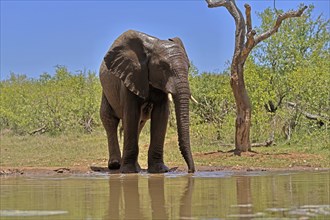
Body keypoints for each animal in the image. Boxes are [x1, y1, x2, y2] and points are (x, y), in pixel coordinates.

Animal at [99, 29, 195, 174]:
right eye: (163, 67)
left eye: (188, 67)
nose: (190, 171)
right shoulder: (131, 75)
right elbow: (131, 114)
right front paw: (128, 171)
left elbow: (161, 115)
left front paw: (160, 170)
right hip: (106, 91)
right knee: (109, 119)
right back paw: (116, 165)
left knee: (139, 123)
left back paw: (136, 166)